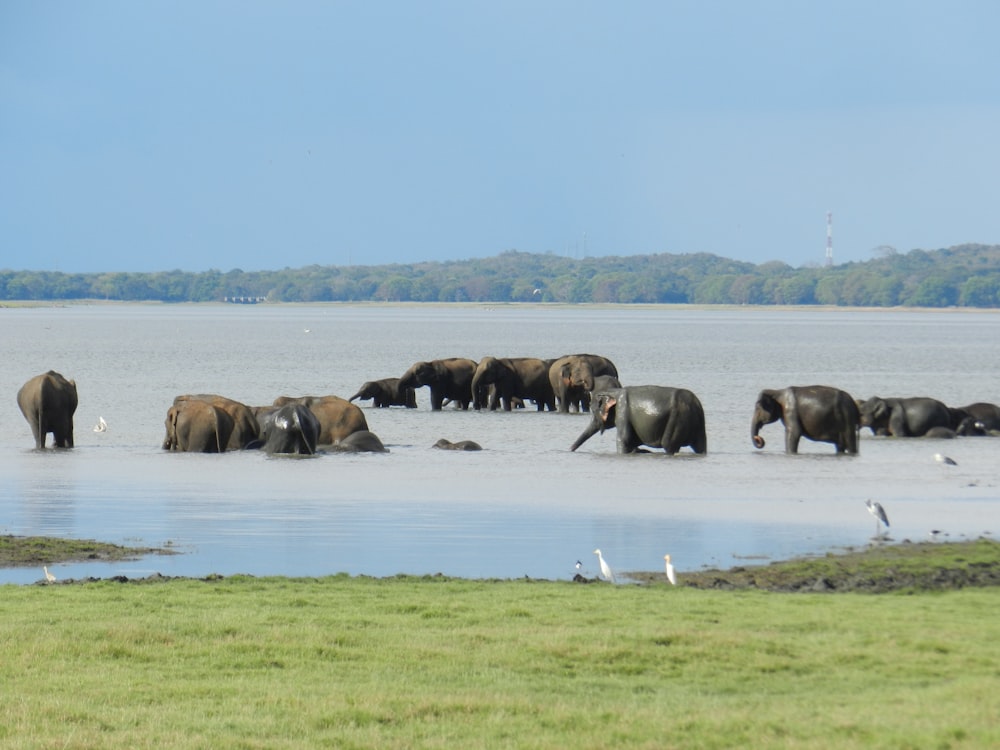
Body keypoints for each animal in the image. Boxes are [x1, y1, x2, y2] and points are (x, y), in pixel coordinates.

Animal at [572, 390, 712, 456]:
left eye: (593, 410)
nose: (570, 450)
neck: (613, 391)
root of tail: (696, 405)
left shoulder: (623, 411)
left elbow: (624, 439)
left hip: (676, 421)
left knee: (669, 445)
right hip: (697, 426)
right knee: (700, 446)